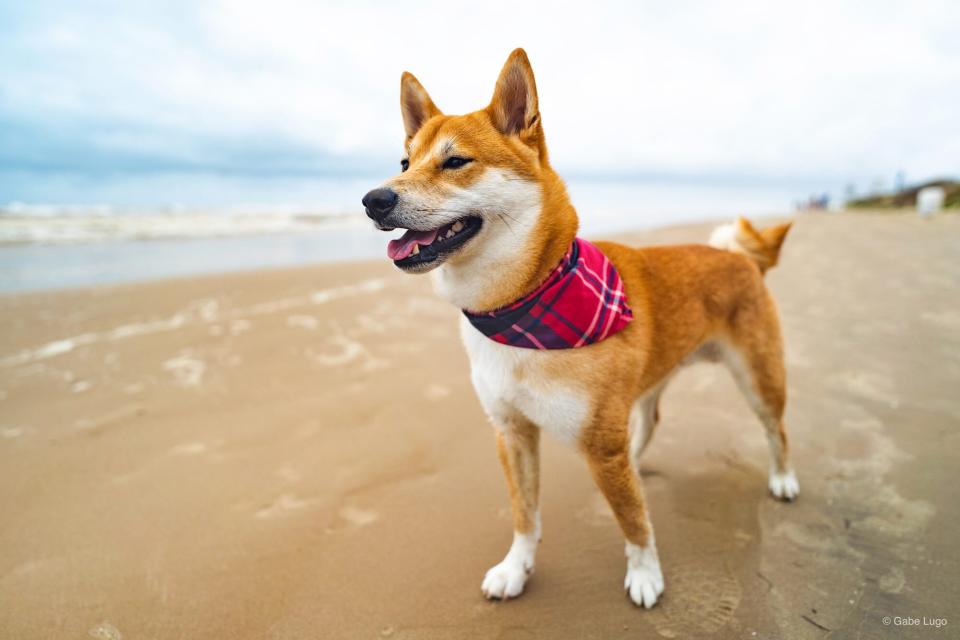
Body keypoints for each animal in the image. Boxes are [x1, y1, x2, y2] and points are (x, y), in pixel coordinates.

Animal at [360, 47, 796, 608]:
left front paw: (646, 574)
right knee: (650, 421)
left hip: (759, 378)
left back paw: (783, 479)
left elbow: (635, 522)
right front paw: (516, 568)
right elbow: (525, 514)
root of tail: (740, 257)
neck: (517, 306)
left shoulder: (598, 442)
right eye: (405, 163)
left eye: (455, 162)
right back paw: (638, 458)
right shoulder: (512, 433)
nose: (374, 200)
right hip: (648, 383)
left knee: (775, 429)